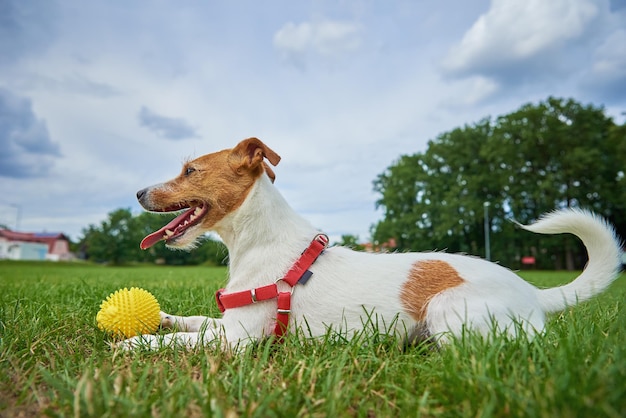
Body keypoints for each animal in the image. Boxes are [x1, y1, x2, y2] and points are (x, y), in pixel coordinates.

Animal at [120, 137, 620, 350]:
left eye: (190, 171)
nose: (138, 193)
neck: (261, 241)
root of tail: (533, 292)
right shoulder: (227, 325)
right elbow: (193, 322)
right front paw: (162, 319)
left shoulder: (237, 341)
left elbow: (178, 343)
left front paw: (134, 345)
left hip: (449, 313)